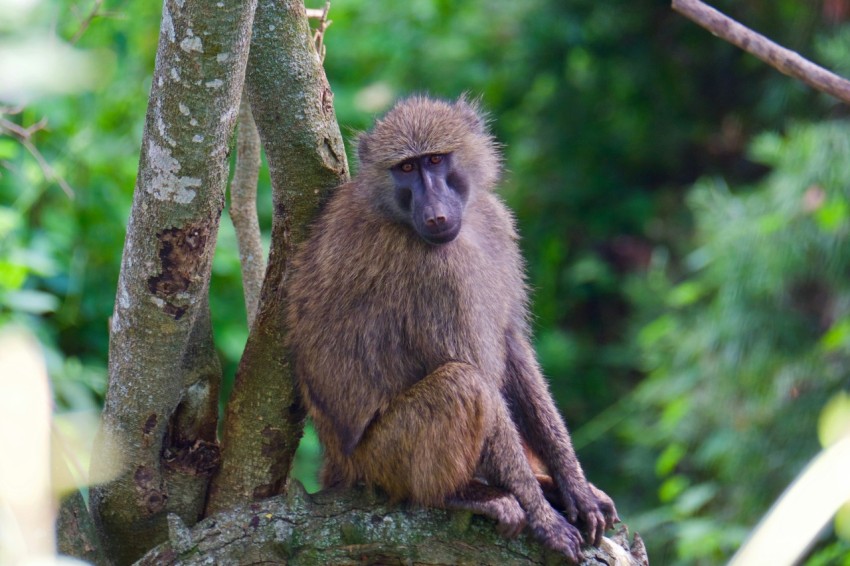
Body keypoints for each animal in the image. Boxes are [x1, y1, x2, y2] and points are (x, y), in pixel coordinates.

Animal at [285, 95, 618, 562]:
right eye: (406, 168)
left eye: (436, 160)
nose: (436, 214)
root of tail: (338, 461)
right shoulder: (436, 275)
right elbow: (480, 375)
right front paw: (544, 519)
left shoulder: (497, 222)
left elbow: (513, 348)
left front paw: (575, 490)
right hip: (381, 459)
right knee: (464, 383)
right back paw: (459, 495)